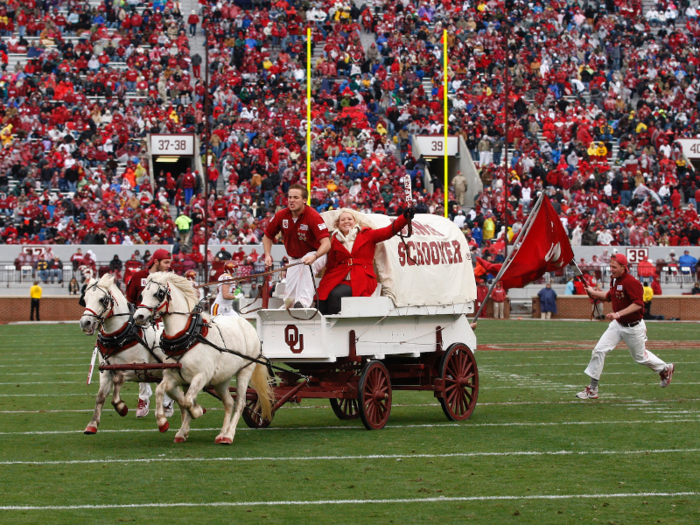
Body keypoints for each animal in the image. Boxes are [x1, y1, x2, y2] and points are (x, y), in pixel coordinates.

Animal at [78, 274, 172, 434]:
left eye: (102, 299)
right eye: (85, 298)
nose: (85, 323)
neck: (119, 336)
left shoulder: (137, 368)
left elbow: (118, 379)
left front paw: (121, 407)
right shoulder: (105, 371)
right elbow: (100, 396)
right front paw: (92, 424)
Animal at [133, 272, 274, 444]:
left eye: (158, 294)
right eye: (142, 294)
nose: (139, 316)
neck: (188, 336)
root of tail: (245, 323)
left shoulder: (202, 376)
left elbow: (187, 401)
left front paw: (197, 411)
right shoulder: (173, 377)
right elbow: (163, 392)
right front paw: (164, 423)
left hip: (245, 371)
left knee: (240, 403)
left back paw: (229, 435)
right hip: (222, 379)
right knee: (229, 403)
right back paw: (222, 433)